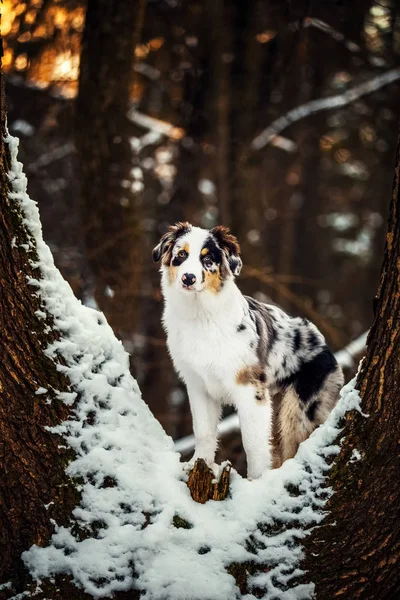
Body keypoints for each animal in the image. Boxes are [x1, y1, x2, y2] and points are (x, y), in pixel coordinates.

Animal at [153, 220, 344, 478]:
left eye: (207, 259)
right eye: (180, 255)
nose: (188, 278)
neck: (201, 315)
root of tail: (323, 344)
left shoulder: (250, 390)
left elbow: (252, 444)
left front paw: (255, 481)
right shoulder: (198, 385)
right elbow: (203, 432)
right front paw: (198, 464)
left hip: (299, 414)